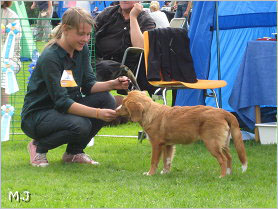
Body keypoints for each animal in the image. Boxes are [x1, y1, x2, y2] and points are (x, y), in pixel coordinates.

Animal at [115, 90, 248, 177]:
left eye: (124, 104)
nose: (115, 110)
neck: (150, 113)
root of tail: (224, 112)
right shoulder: (168, 145)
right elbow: (167, 160)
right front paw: (165, 173)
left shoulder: (156, 144)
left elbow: (154, 161)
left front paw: (150, 173)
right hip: (223, 143)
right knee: (229, 157)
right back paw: (229, 173)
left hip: (212, 143)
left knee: (223, 159)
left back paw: (222, 176)